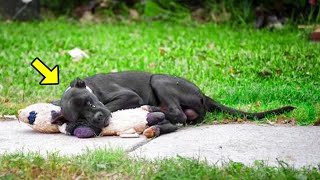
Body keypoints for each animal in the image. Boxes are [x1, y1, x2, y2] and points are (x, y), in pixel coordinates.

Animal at [52, 71, 296, 136]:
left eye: (91, 103)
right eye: (80, 115)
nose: (98, 118)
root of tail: (202, 94)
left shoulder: (129, 97)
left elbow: (113, 106)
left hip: (159, 80)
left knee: (178, 113)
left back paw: (150, 110)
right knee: (180, 116)